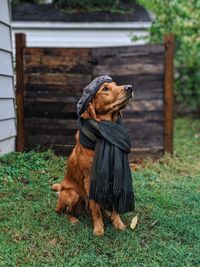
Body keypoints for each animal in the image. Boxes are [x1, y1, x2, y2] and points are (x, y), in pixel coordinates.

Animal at [52, 79, 133, 237]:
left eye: (115, 84)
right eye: (105, 88)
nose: (130, 88)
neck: (105, 134)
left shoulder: (114, 175)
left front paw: (118, 222)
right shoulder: (90, 179)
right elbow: (95, 207)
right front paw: (98, 228)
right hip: (71, 194)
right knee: (63, 212)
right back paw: (73, 219)